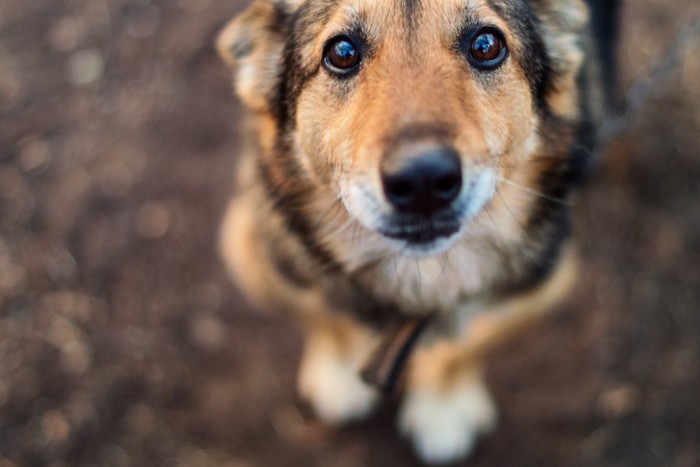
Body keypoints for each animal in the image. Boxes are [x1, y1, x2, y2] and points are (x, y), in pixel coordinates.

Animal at [216, 0, 616, 460]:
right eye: (342, 53)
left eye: (486, 45)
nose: (423, 179)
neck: (422, 274)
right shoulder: (254, 251)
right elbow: (324, 317)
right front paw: (339, 373)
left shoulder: (539, 287)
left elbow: (467, 344)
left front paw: (442, 410)